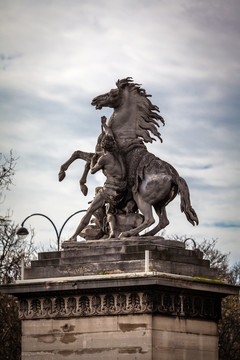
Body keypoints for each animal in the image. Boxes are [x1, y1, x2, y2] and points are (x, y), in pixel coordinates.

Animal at [91, 77, 198, 238]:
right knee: (163, 221)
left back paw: (128, 234)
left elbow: (82, 158)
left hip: (142, 198)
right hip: (159, 204)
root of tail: (174, 177)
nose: (95, 100)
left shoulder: (102, 157)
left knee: (149, 219)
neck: (122, 134)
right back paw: (144, 236)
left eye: (113, 93)